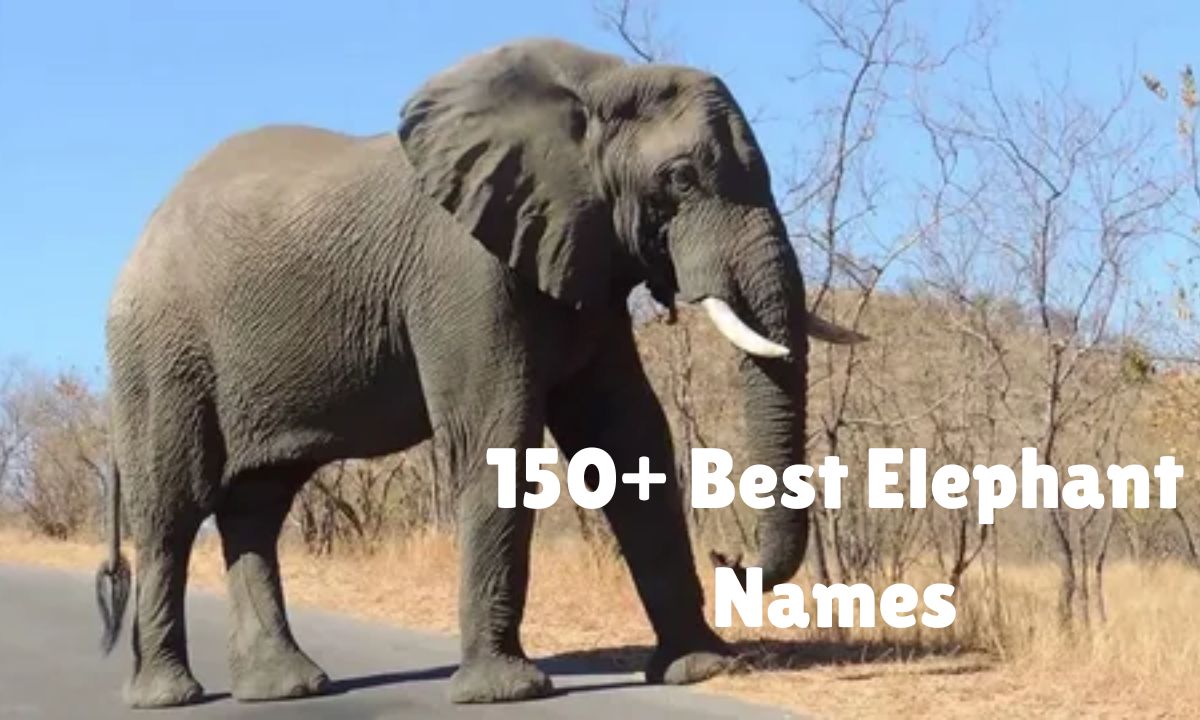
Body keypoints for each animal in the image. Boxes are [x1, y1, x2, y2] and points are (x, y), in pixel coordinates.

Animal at [94, 38, 864, 708]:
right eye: (680, 179)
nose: (730, 557)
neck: (592, 84)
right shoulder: (463, 269)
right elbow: (501, 435)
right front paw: (507, 692)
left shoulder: (581, 259)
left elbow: (631, 435)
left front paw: (697, 668)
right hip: (161, 353)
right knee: (172, 507)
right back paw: (169, 697)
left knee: (256, 506)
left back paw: (287, 688)